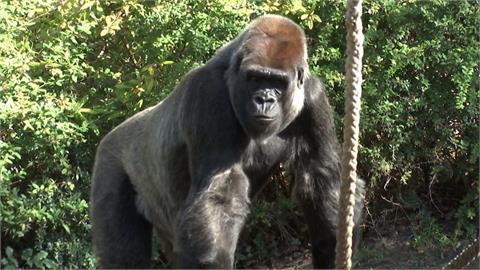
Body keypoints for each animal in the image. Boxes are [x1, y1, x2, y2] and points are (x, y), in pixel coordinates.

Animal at [91, 14, 364, 268]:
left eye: (277, 82)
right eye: (255, 78)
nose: (264, 99)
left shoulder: (313, 96)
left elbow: (320, 178)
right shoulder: (209, 92)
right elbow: (219, 193)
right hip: (109, 161)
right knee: (124, 257)